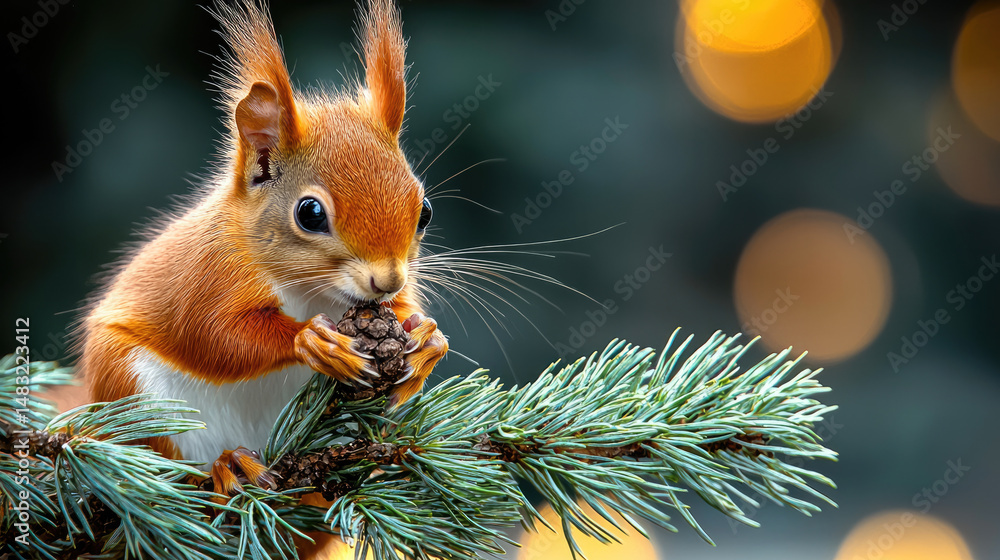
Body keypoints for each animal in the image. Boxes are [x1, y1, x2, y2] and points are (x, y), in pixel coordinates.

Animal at [77, 0, 448, 498]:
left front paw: (427, 338)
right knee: (170, 468)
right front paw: (311, 339)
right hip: (135, 394)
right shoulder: (210, 275)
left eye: (424, 210)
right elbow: (213, 334)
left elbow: (406, 313)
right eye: (310, 213)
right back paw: (229, 466)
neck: (312, 291)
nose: (386, 280)